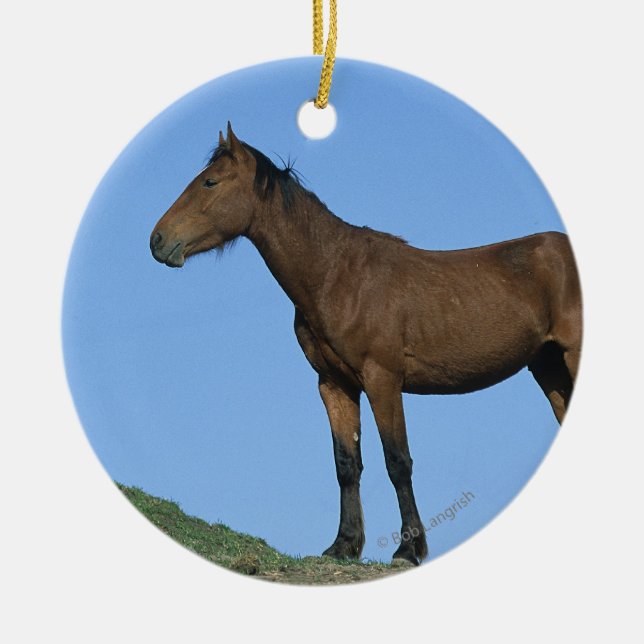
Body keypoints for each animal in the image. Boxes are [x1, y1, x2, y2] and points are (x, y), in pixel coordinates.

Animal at [150, 123, 582, 566]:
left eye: (210, 181)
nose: (158, 240)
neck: (336, 273)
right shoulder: (335, 384)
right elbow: (346, 464)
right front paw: (344, 545)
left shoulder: (382, 380)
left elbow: (397, 461)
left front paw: (408, 548)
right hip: (548, 367)